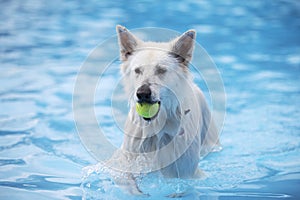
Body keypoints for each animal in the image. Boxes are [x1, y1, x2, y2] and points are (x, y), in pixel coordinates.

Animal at [106, 25, 219, 195]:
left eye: (161, 70)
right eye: (137, 70)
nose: (142, 93)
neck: (156, 129)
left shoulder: (185, 175)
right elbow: (126, 180)